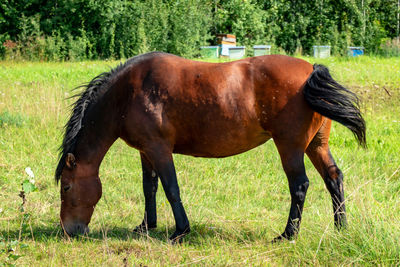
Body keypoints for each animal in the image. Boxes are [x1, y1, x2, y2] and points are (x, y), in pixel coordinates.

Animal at [56, 51, 366, 243]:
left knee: (300, 185)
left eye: (67, 187)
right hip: (316, 145)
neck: (129, 93)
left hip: (290, 146)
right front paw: (146, 226)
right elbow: (149, 187)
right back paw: (341, 228)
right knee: (333, 178)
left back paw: (287, 235)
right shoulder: (146, 151)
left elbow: (171, 188)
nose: (69, 231)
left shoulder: (159, 149)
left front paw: (180, 231)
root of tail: (311, 69)